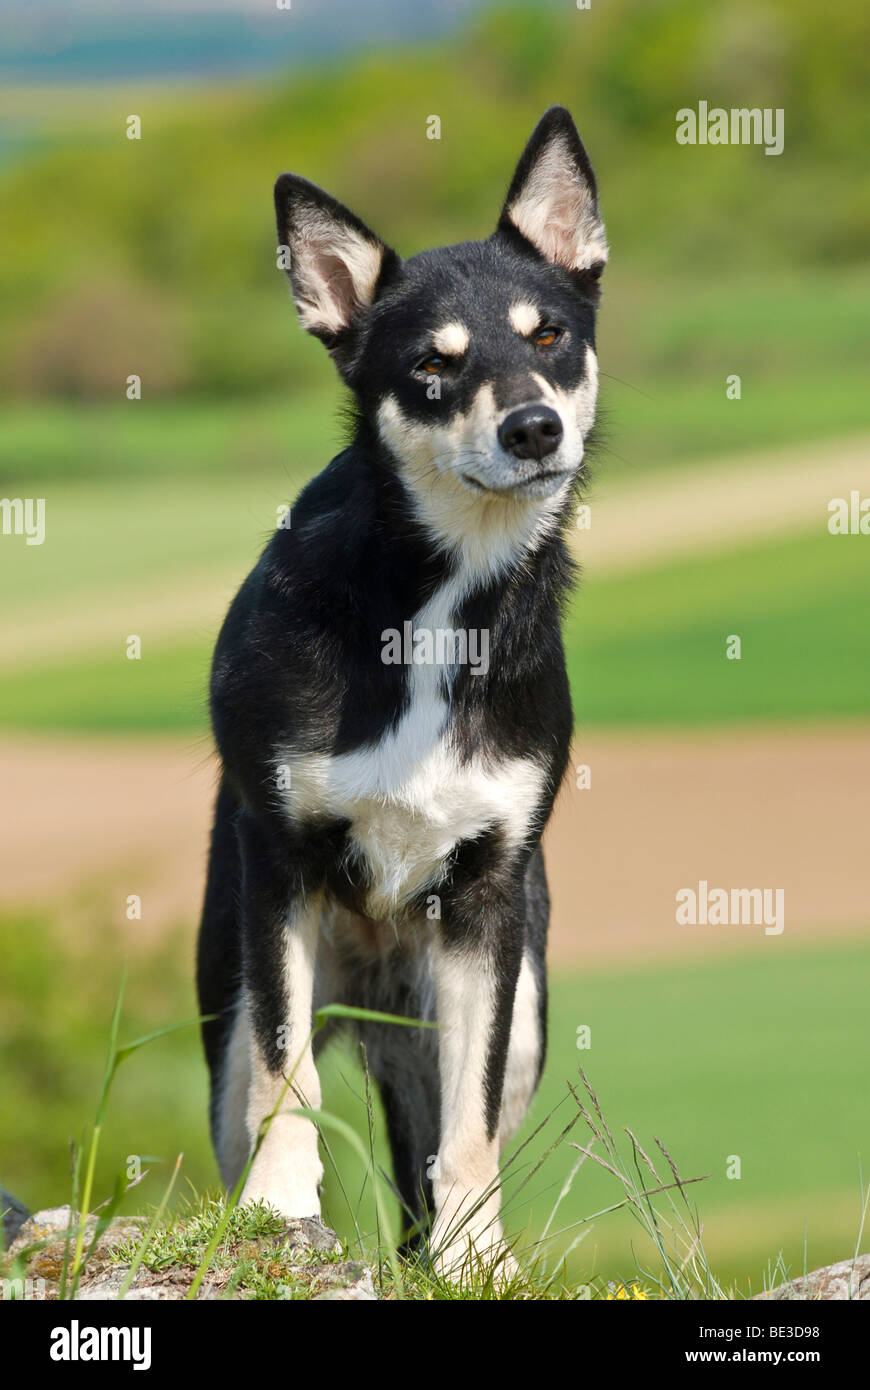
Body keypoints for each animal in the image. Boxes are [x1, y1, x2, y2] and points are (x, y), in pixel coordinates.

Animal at [195, 108, 603, 1278]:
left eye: (549, 338)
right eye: (431, 365)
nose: (534, 429)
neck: (435, 598)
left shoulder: (484, 913)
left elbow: (465, 1133)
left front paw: (477, 1259)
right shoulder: (279, 868)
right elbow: (287, 1078)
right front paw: (281, 1209)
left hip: (518, 1003)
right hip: (232, 987)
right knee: (257, 1083)